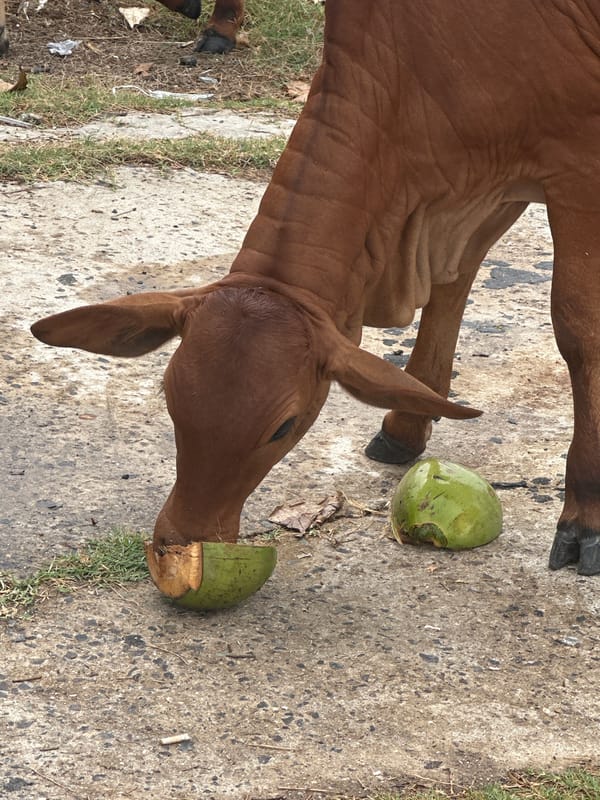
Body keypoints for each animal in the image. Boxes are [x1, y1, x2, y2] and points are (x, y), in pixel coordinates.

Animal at [32, 0, 600, 584]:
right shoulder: (475, 181)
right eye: (170, 399)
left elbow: (579, 330)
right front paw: (406, 425)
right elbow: (452, 283)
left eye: (283, 427)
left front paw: (584, 515)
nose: (180, 542)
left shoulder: (576, 169)